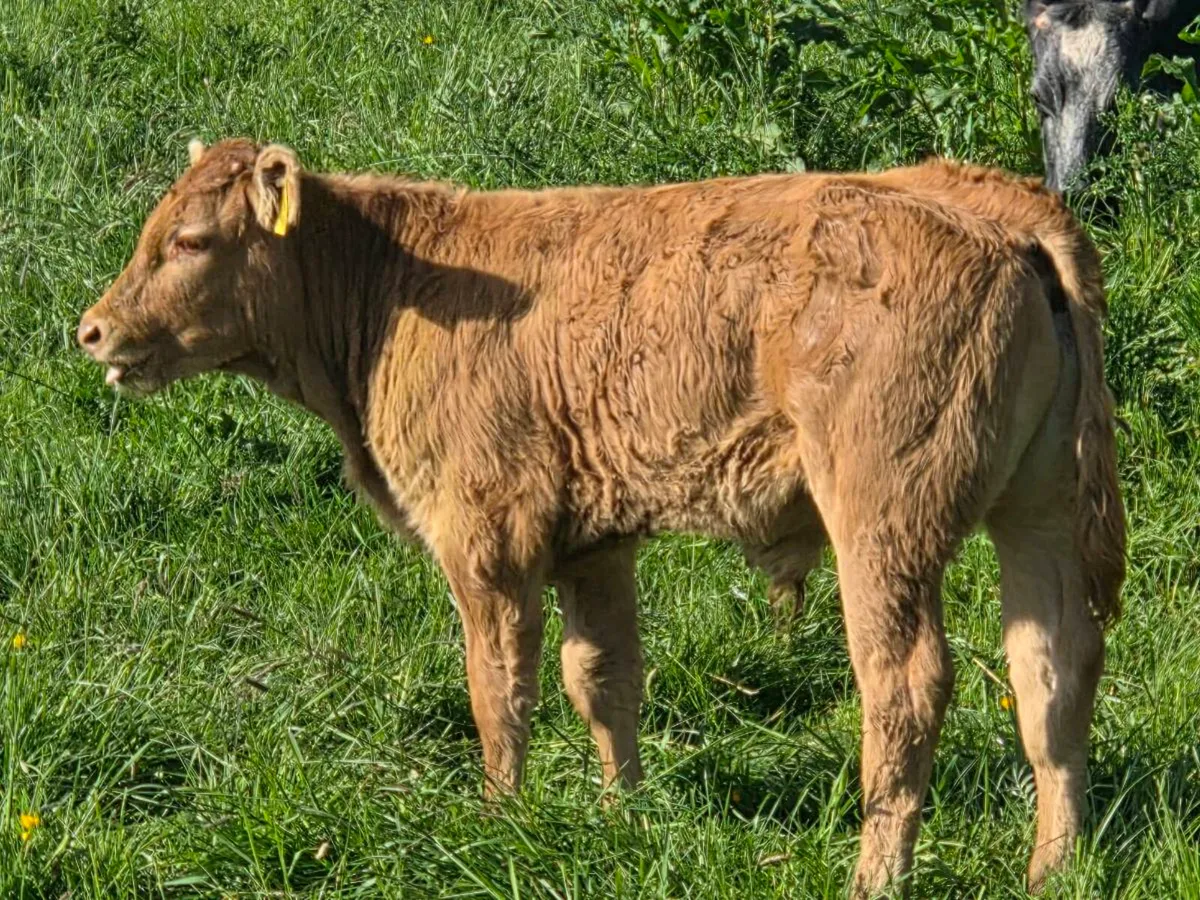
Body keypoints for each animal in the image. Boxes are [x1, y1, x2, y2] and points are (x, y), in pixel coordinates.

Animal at [77, 139, 1125, 896]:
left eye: (190, 241)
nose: (92, 329)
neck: (395, 286)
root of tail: (992, 208)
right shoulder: (593, 543)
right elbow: (604, 679)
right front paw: (623, 816)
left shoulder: (486, 540)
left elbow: (498, 691)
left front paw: (496, 822)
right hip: (1038, 513)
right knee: (1052, 671)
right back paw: (1055, 867)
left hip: (883, 524)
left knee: (904, 686)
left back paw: (876, 876)